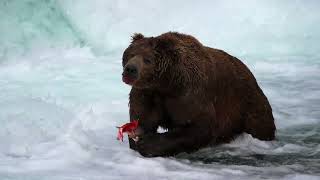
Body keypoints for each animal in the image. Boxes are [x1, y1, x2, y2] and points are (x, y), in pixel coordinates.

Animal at [121, 31, 276, 157]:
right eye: (130, 54)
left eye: (147, 59)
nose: (130, 69)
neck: (166, 82)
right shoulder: (148, 93)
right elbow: (142, 117)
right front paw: (137, 135)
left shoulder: (190, 93)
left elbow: (200, 126)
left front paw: (148, 143)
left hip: (247, 103)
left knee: (259, 124)